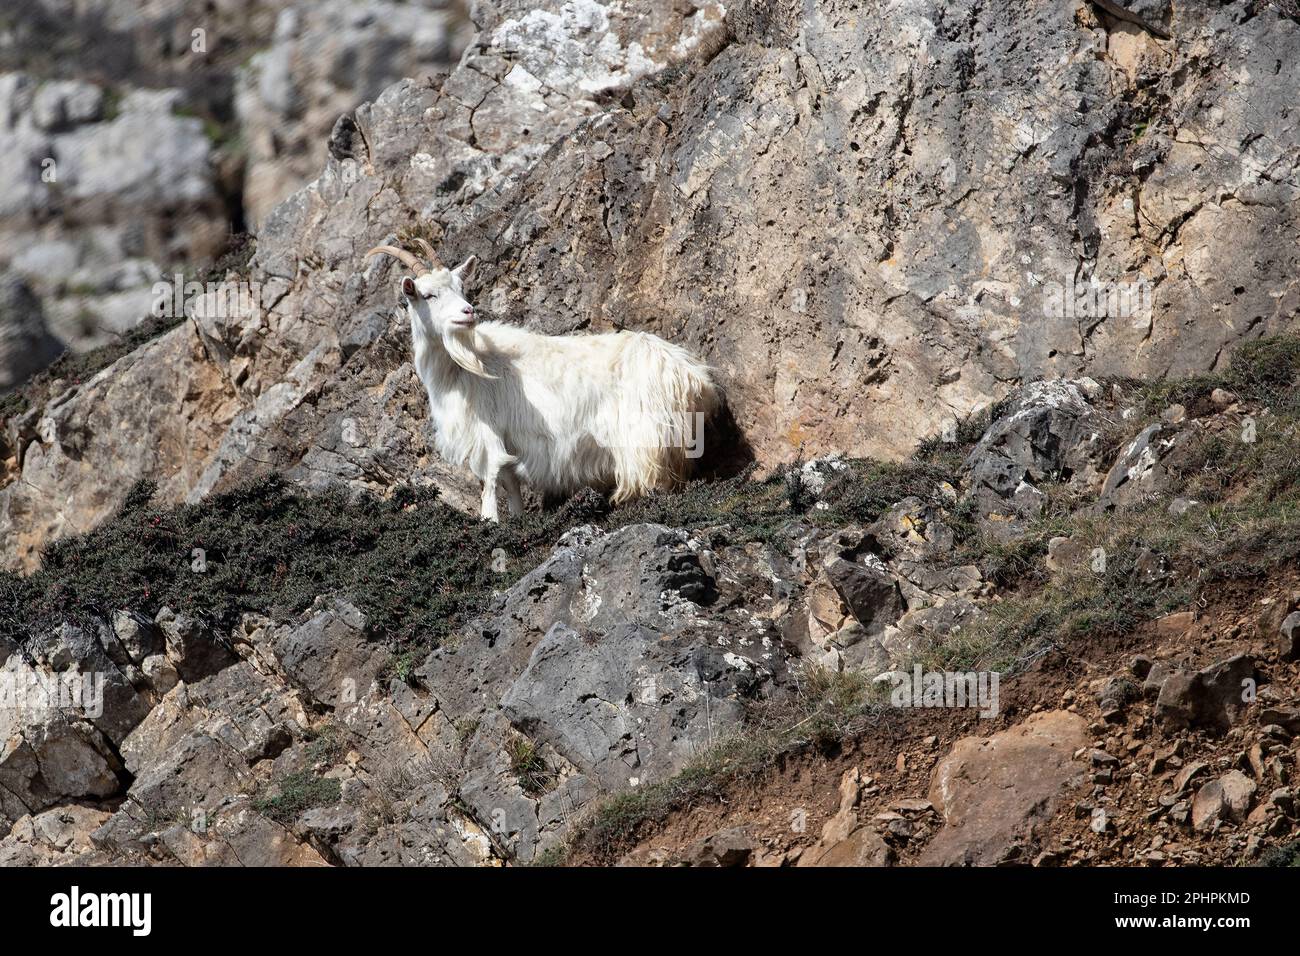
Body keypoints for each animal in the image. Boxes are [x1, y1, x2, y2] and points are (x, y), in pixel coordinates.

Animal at [366, 243, 722, 520]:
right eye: (428, 295)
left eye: (460, 287)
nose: (468, 312)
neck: (462, 369)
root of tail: (691, 377)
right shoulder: (507, 439)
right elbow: (510, 484)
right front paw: (517, 521)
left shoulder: (486, 433)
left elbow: (491, 482)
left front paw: (489, 522)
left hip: (644, 438)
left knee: (652, 482)